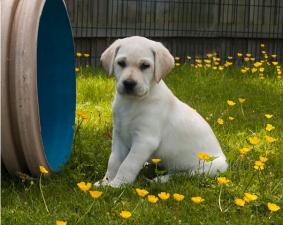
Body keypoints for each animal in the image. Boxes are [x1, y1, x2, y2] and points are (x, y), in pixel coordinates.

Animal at [97, 36, 229, 188]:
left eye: (145, 66)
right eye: (121, 63)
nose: (129, 83)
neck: (132, 102)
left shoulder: (145, 139)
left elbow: (128, 164)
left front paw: (117, 185)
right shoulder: (119, 135)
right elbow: (114, 161)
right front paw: (105, 182)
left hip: (209, 167)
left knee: (183, 175)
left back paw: (159, 180)